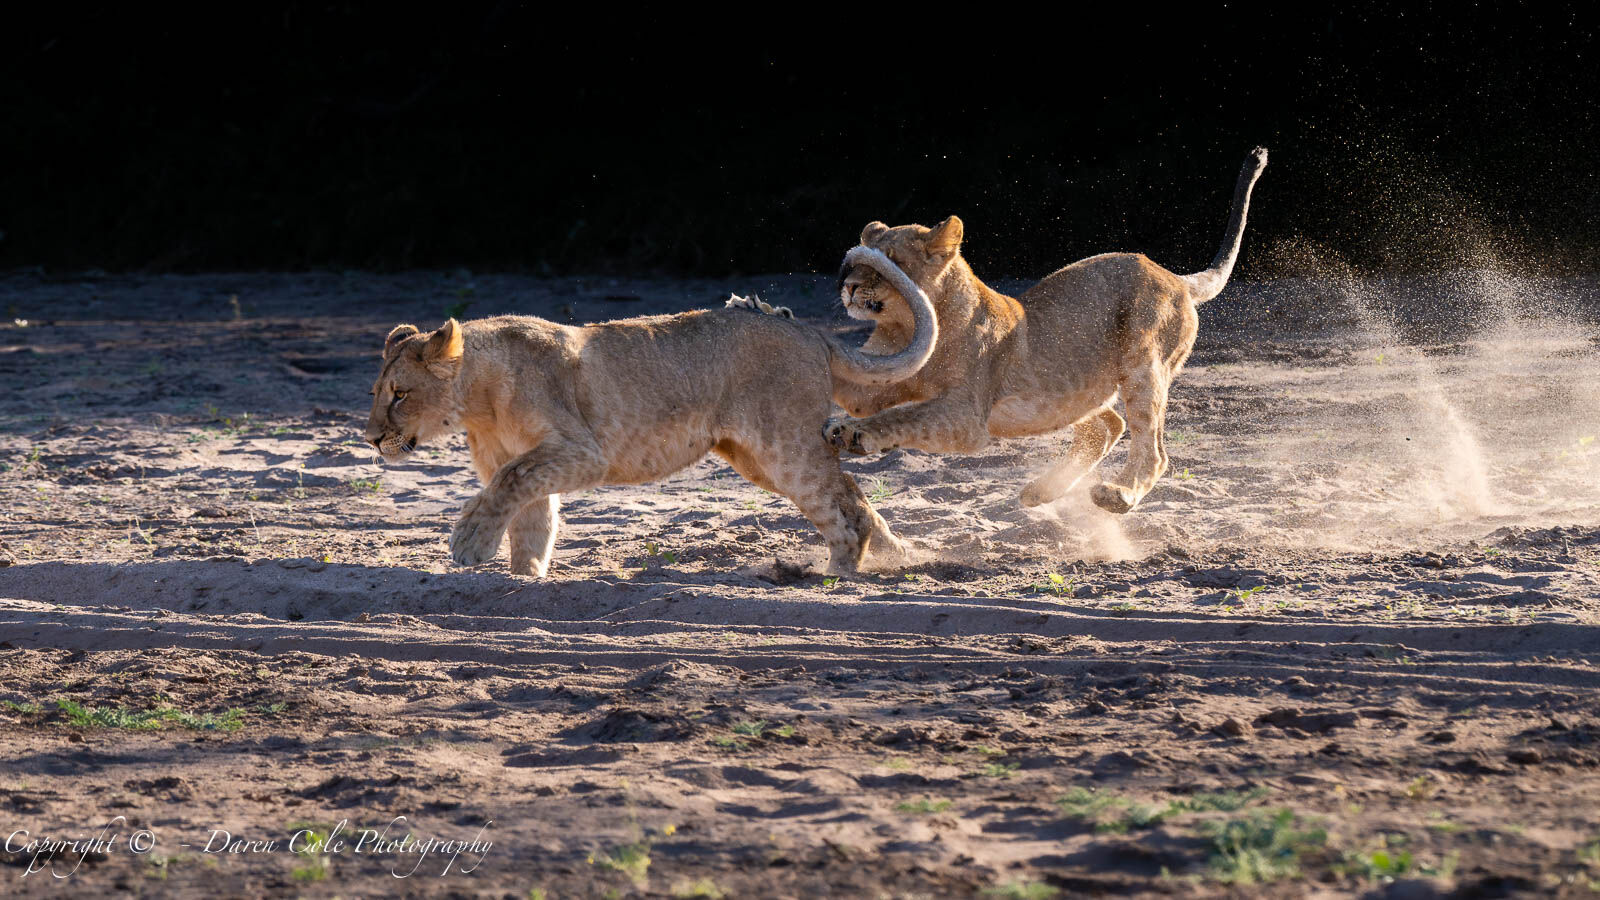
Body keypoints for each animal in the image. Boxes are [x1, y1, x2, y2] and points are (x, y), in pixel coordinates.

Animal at [363, 247, 936, 577]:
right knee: (851, 489)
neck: (479, 404)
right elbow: (530, 515)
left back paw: (837, 573)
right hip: (755, 457)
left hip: (784, 448)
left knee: (838, 503)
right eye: (377, 392)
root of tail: (811, 332)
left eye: (399, 394)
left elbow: (509, 483)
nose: (370, 439)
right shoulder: (532, 460)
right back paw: (882, 555)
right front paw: (526, 578)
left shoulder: (581, 452)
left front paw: (468, 545)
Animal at [734, 147, 1268, 515]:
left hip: (1143, 366)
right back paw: (1041, 491)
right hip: (1068, 391)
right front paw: (765, 314)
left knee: (1151, 448)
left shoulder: (965, 417)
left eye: (890, 264)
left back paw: (1116, 496)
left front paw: (851, 433)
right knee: (1108, 425)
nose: (846, 287)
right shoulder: (876, 383)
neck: (903, 325)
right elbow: (863, 392)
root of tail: (1175, 276)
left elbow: (903, 416)